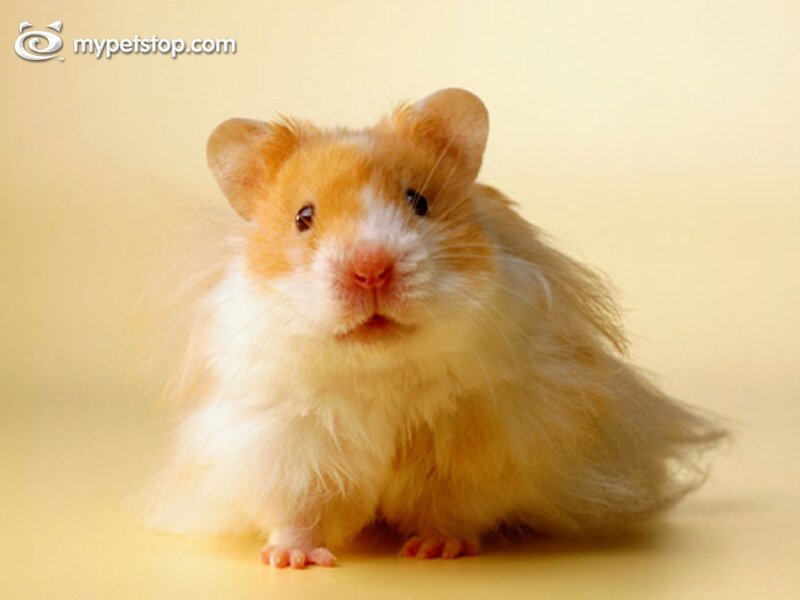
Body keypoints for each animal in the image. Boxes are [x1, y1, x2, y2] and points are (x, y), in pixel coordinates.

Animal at [144, 88, 727, 569]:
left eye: (418, 202)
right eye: (303, 218)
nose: (371, 268)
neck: (380, 366)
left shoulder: (485, 441)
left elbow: (453, 506)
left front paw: (435, 550)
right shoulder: (284, 441)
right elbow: (297, 508)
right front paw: (290, 560)